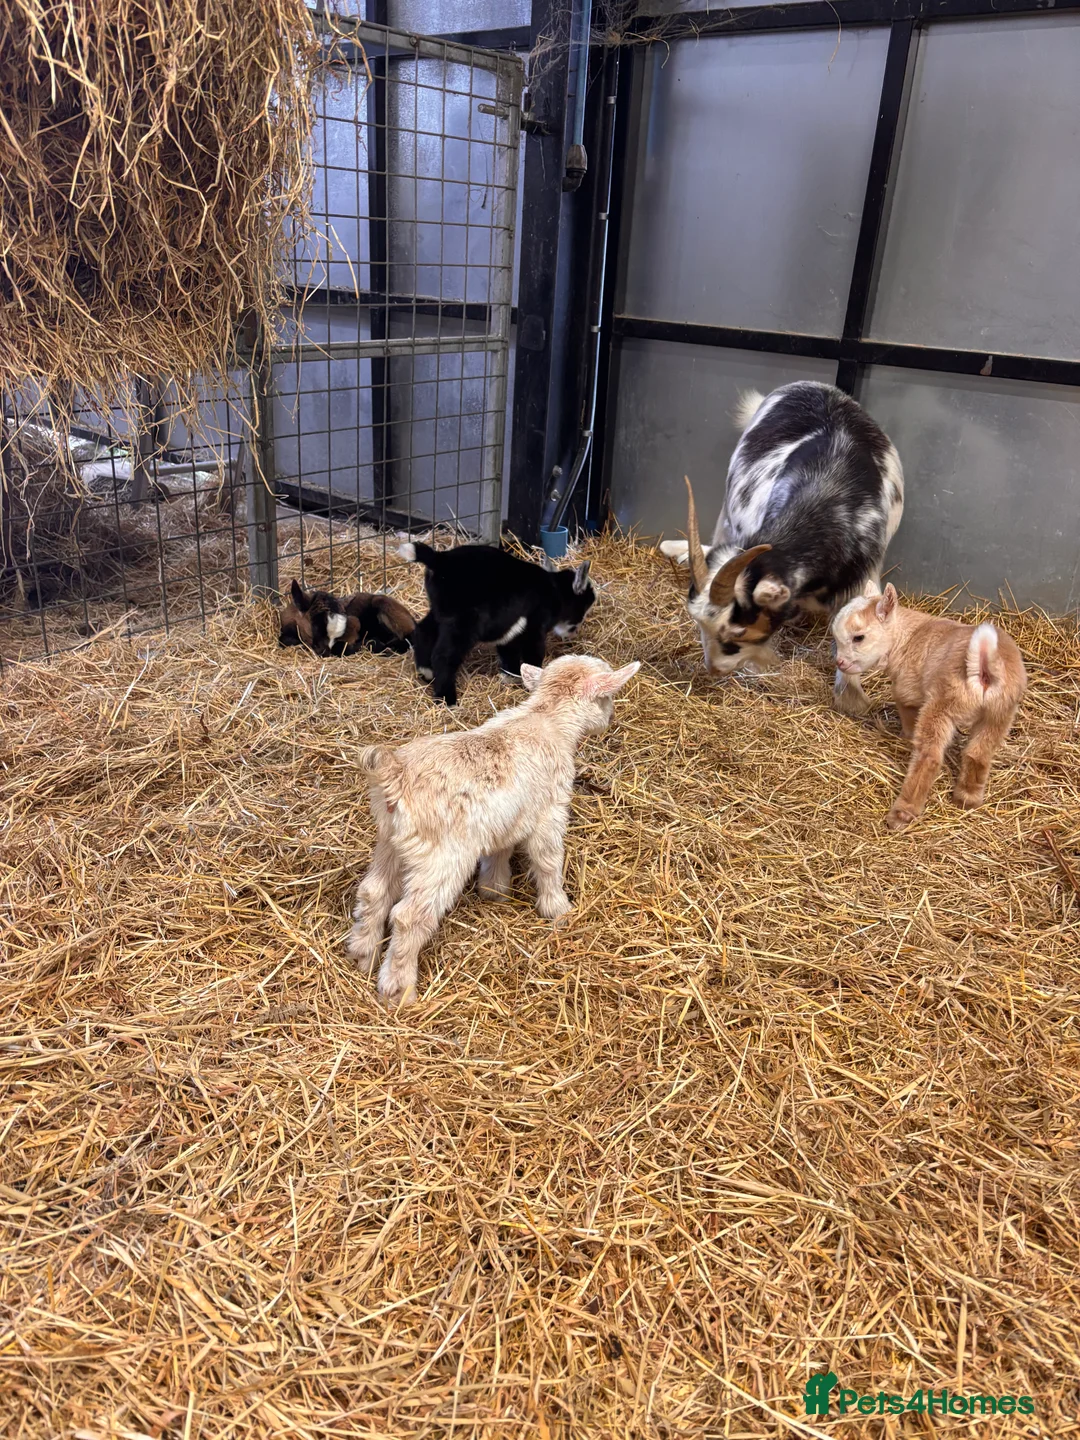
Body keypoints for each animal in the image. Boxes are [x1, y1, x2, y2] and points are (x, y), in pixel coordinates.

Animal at [345, 654, 640, 1007]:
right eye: (608, 697)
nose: (609, 720)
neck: (546, 718)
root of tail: (394, 772)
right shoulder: (549, 813)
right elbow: (548, 861)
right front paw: (558, 909)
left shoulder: (507, 818)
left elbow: (500, 852)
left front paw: (495, 891)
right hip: (442, 857)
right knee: (408, 916)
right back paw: (398, 988)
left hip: (390, 841)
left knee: (373, 891)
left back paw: (363, 955)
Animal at [399, 541, 596, 706]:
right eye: (583, 607)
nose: (573, 633)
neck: (556, 592)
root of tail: (440, 559)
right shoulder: (535, 628)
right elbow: (533, 654)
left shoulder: (511, 627)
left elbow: (508, 650)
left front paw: (511, 677)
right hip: (463, 622)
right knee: (444, 656)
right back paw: (447, 700)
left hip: (440, 611)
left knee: (423, 631)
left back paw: (426, 672)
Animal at [659, 382, 904, 714]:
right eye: (699, 625)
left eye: (737, 634)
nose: (715, 669)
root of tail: (814, 386)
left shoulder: (863, 574)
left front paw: (851, 698)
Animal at [833, 583, 1027, 830]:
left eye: (859, 638)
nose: (840, 662)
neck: (906, 637)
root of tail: (983, 665)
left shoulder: (907, 691)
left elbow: (908, 717)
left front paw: (905, 738)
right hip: (1000, 712)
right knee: (978, 753)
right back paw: (967, 799)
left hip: (942, 706)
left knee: (929, 757)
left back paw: (902, 814)